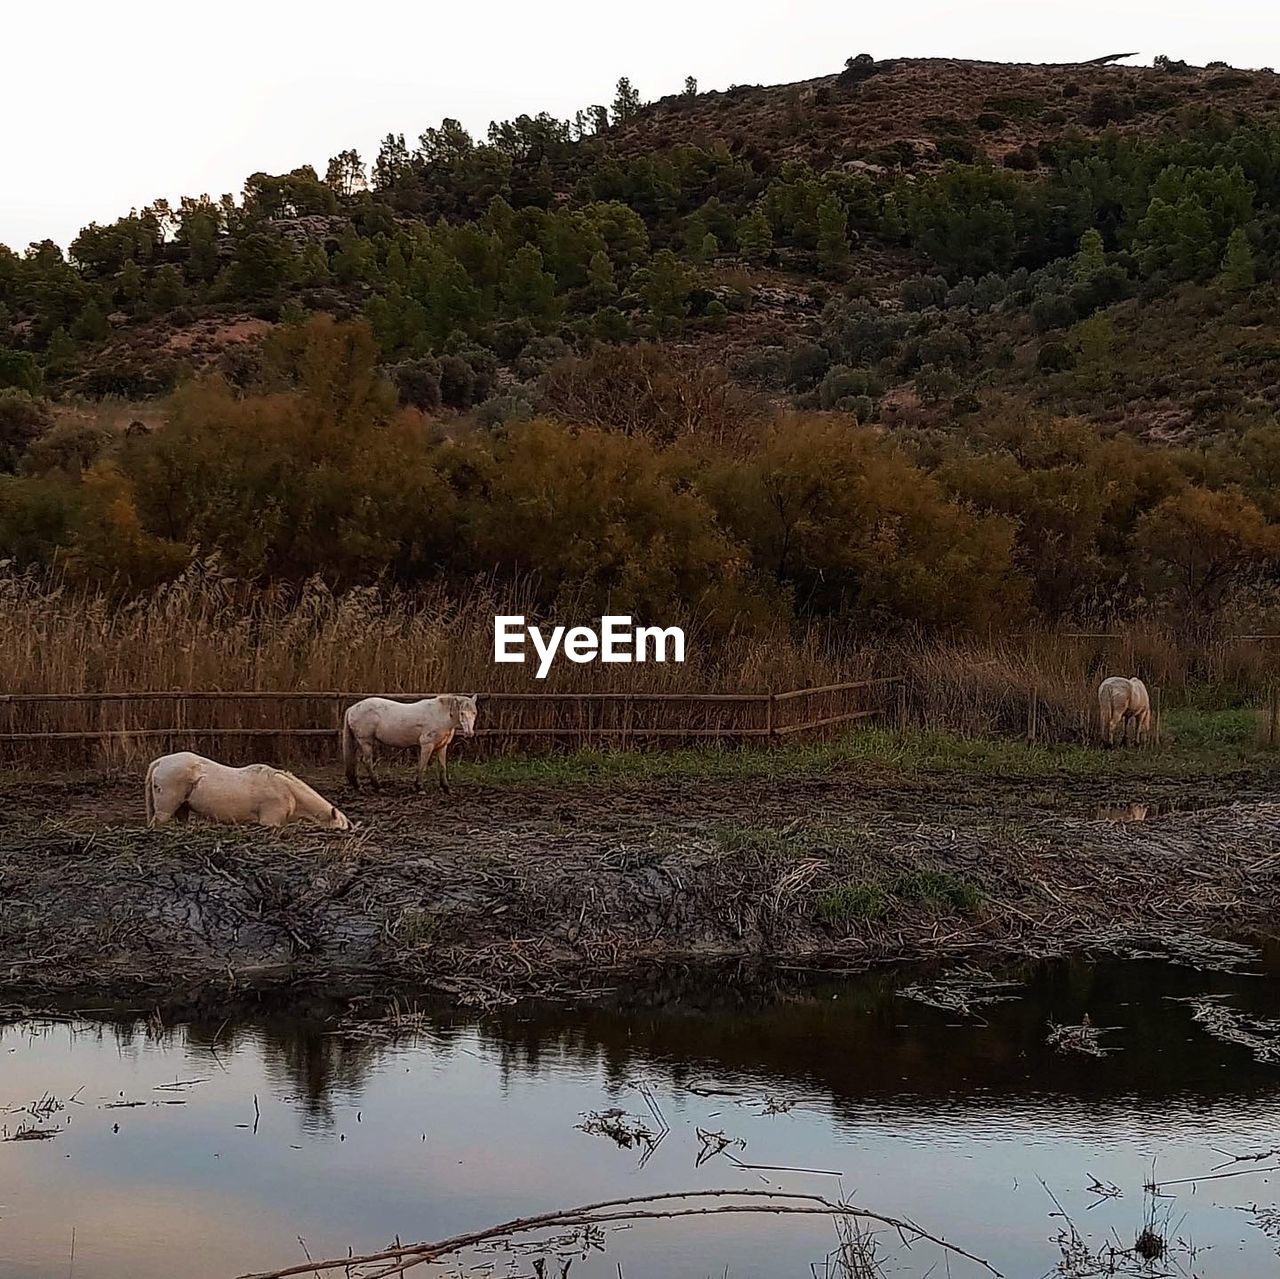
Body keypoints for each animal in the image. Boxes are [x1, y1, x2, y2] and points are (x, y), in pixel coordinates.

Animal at [343, 696, 478, 793]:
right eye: (462, 713)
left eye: (474, 713)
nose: (469, 733)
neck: (440, 715)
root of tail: (352, 708)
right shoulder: (427, 745)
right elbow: (422, 765)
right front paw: (419, 787)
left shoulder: (442, 746)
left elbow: (442, 767)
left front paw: (446, 788)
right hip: (366, 741)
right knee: (367, 761)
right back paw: (378, 787)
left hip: (359, 742)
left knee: (355, 761)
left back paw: (357, 785)